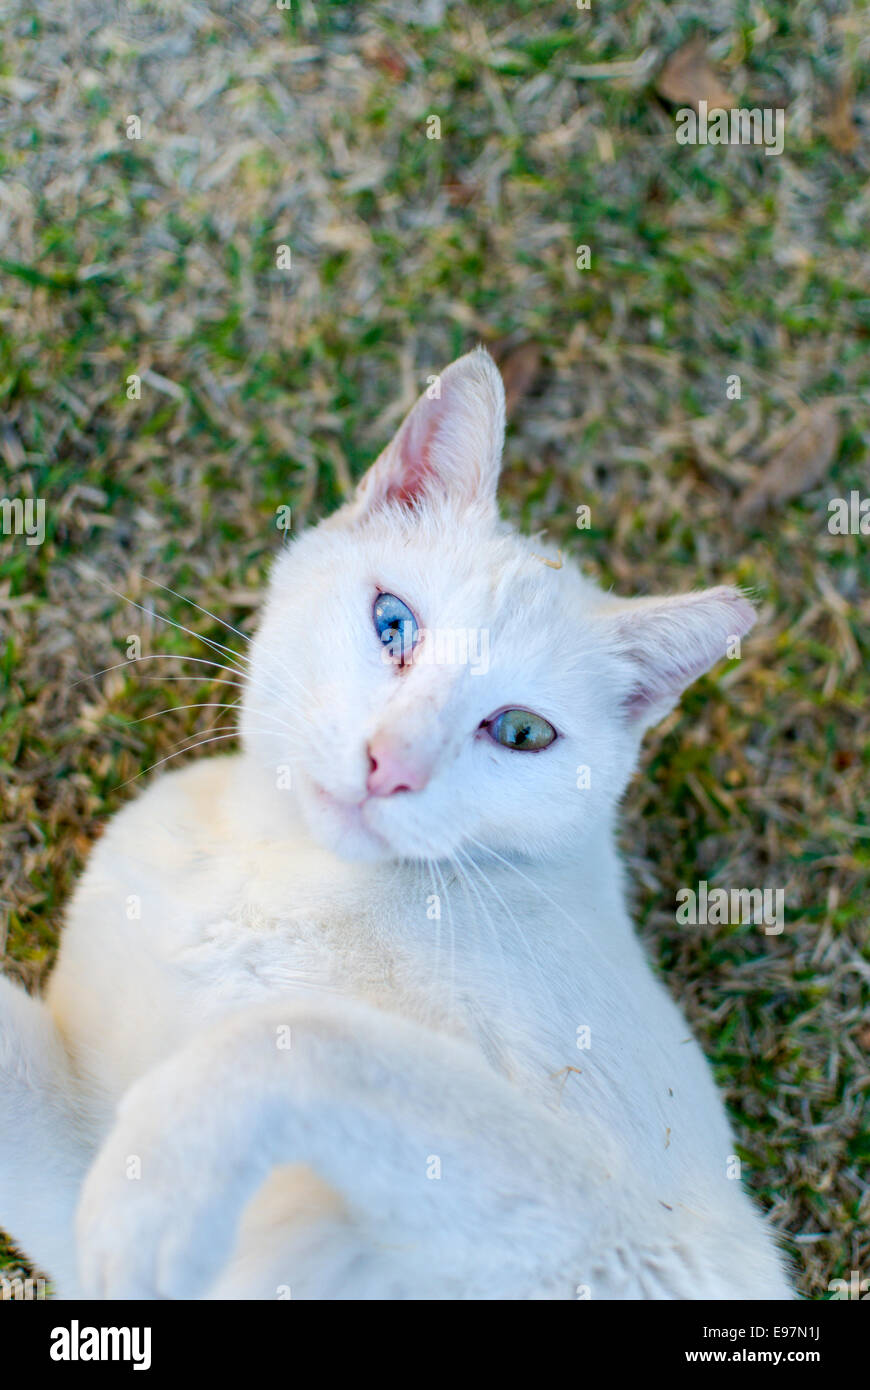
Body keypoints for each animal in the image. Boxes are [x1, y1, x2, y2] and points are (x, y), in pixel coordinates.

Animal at [0, 344, 783, 1289]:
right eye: (392, 622)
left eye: (523, 733)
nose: (392, 765)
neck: (281, 867)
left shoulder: (638, 1238)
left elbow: (309, 1045)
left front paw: (160, 1191)